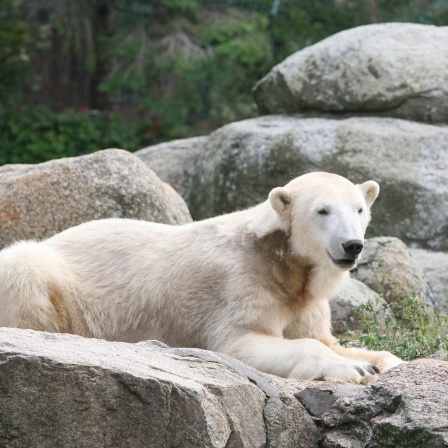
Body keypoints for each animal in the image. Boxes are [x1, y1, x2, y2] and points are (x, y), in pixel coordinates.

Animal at [0, 172, 400, 382]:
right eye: (322, 210)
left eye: (359, 209)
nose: (352, 245)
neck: (281, 260)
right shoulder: (241, 284)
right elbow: (242, 343)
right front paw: (355, 368)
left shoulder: (305, 300)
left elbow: (324, 337)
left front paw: (378, 360)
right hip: (52, 276)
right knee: (25, 266)